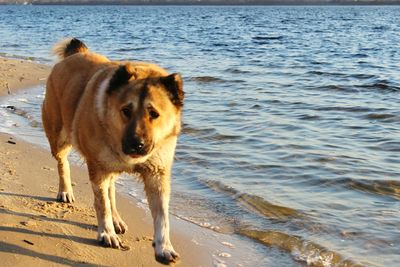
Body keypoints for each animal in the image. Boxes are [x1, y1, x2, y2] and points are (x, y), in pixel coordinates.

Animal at [41, 37, 184, 264]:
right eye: (126, 110)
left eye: (154, 113)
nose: (137, 144)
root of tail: (76, 53)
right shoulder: (97, 168)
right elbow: (102, 204)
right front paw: (106, 233)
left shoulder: (157, 174)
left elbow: (162, 215)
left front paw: (164, 247)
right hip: (59, 137)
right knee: (63, 163)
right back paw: (65, 191)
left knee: (111, 188)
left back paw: (117, 219)